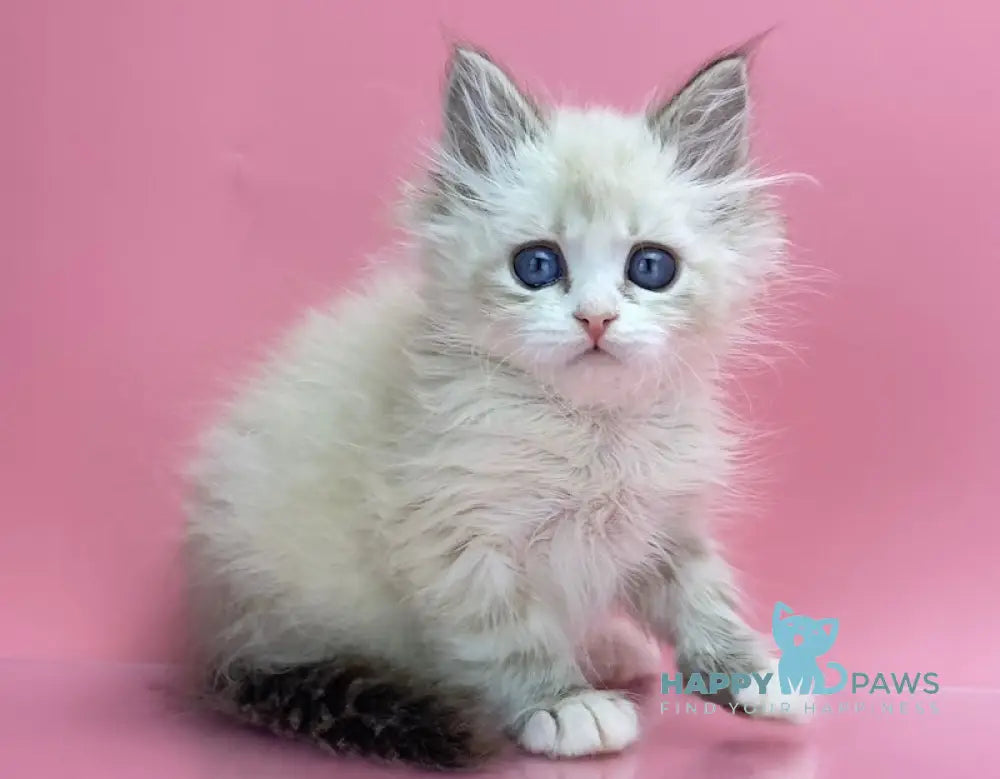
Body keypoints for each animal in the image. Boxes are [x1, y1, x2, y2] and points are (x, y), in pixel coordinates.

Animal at [188, 42, 808, 768]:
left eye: (651, 267)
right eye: (536, 265)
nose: (596, 319)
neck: (591, 434)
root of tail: (212, 633)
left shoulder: (662, 523)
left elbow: (704, 599)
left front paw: (756, 675)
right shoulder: (456, 536)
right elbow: (511, 636)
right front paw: (565, 705)